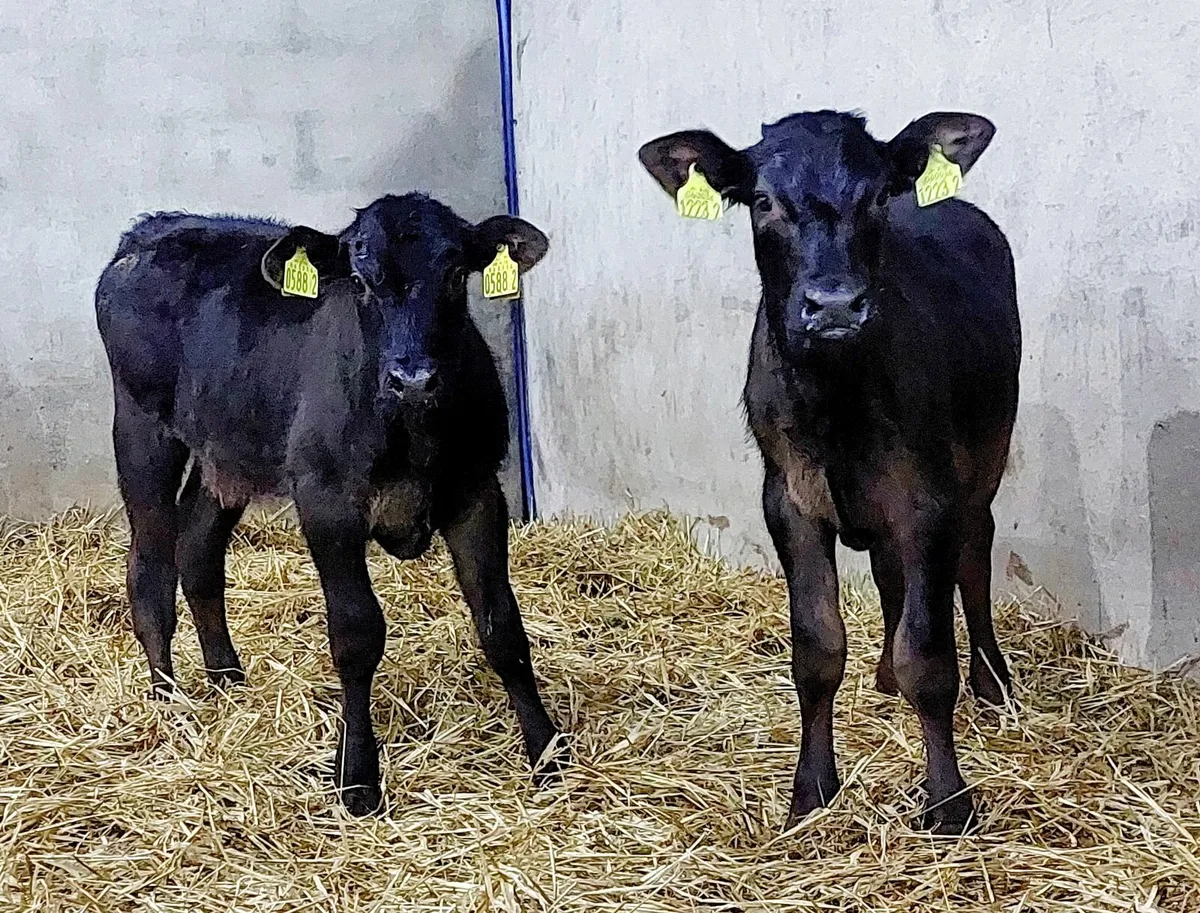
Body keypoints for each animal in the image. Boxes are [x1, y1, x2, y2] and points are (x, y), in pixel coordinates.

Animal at [94, 193, 564, 816]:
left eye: (455, 273)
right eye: (360, 281)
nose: (413, 378)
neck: (412, 431)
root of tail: (150, 229)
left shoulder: (478, 493)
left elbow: (502, 625)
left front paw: (547, 752)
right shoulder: (326, 502)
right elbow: (357, 633)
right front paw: (358, 779)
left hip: (230, 452)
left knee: (197, 553)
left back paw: (227, 680)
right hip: (142, 428)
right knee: (149, 569)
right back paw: (170, 703)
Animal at [639, 110, 1019, 834]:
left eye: (875, 197)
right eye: (762, 201)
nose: (836, 305)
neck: (836, 403)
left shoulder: (928, 496)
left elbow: (929, 655)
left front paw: (949, 800)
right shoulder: (787, 498)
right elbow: (817, 649)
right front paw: (811, 789)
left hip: (986, 454)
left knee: (976, 551)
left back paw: (993, 678)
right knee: (890, 572)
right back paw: (885, 676)